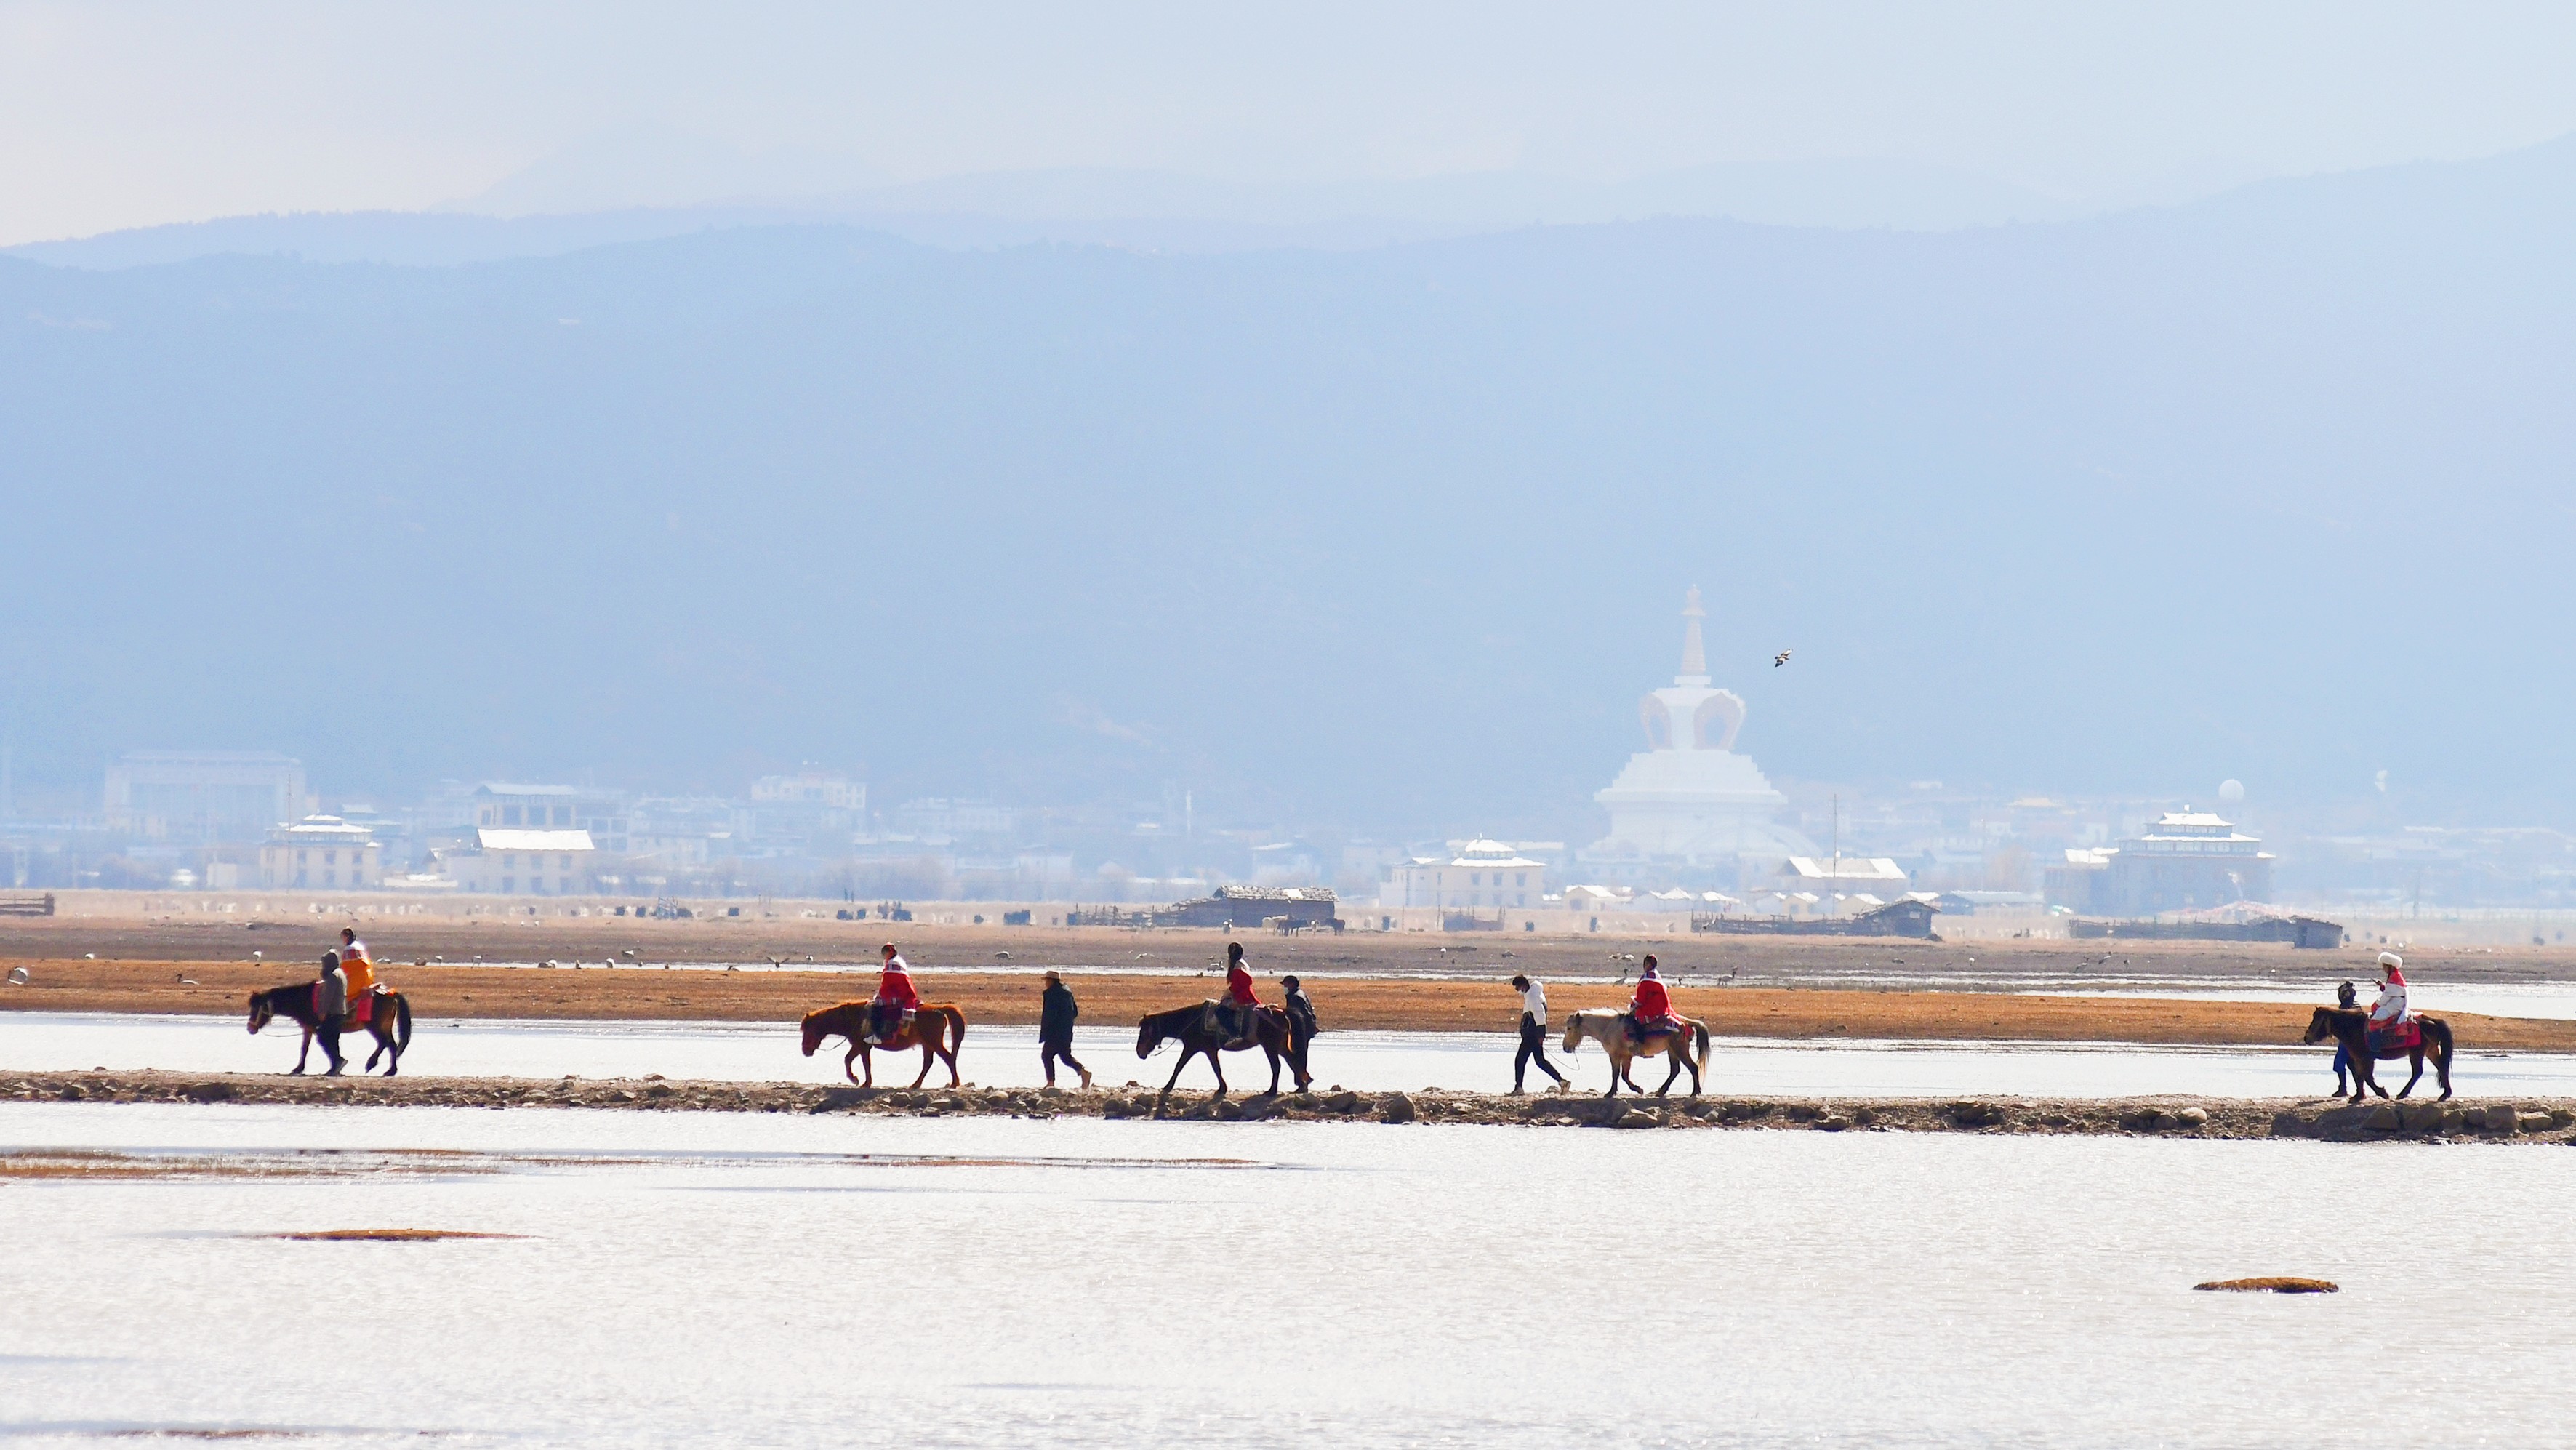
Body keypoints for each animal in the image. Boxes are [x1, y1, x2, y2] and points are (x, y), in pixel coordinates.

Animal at [247, 989, 412, 1076]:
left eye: (257, 1009)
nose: (250, 1028)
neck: (305, 999)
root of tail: (391, 994)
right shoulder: (309, 1028)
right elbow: (305, 1048)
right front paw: (299, 1069)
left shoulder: (321, 1028)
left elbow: (327, 1045)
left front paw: (336, 1066)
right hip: (385, 1026)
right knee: (391, 1045)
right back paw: (389, 1070)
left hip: (375, 1026)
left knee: (385, 1043)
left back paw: (375, 1065)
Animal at [793, 999, 968, 1091]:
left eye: (808, 1030)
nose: (805, 1051)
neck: (853, 1018)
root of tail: (940, 1009)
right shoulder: (857, 1045)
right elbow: (848, 1059)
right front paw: (855, 1079)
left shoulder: (863, 1046)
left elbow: (865, 1063)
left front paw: (865, 1082)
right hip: (927, 1044)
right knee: (928, 1063)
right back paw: (916, 1084)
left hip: (933, 1042)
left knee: (949, 1058)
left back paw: (954, 1083)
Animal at [1545, 1009, 1710, 1102]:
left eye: (1569, 1028)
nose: (1565, 1047)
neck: (1608, 1028)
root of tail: (1686, 1022)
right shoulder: (1624, 1057)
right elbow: (1622, 1075)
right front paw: (1633, 1090)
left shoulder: (1617, 1055)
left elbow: (1617, 1075)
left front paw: (1613, 1093)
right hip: (1672, 1051)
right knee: (1675, 1070)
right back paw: (1661, 1091)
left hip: (1679, 1049)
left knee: (1693, 1067)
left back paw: (1695, 1092)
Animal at [2308, 1009, 2463, 1102]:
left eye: (2316, 1021)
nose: (2306, 1038)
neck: (2354, 1028)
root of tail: (2433, 1020)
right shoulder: (2359, 1059)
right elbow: (2359, 1076)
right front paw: (2359, 1096)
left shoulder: (2366, 1058)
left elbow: (2367, 1077)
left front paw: (2381, 1093)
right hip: (2431, 1051)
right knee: (2441, 1067)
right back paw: (2445, 1094)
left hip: (2417, 1052)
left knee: (2418, 1071)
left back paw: (2402, 1094)